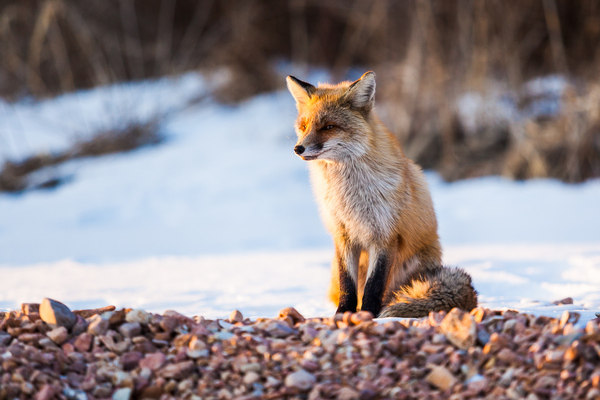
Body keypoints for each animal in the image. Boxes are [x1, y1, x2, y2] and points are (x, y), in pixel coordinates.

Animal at [286, 70, 478, 318]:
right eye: (304, 126)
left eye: (329, 127)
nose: (298, 148)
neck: (350, 196)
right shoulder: (342, 235)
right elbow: (348, 284)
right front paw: (343, 314)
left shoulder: (385, 235)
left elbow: (374, 286)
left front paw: (368, 314)